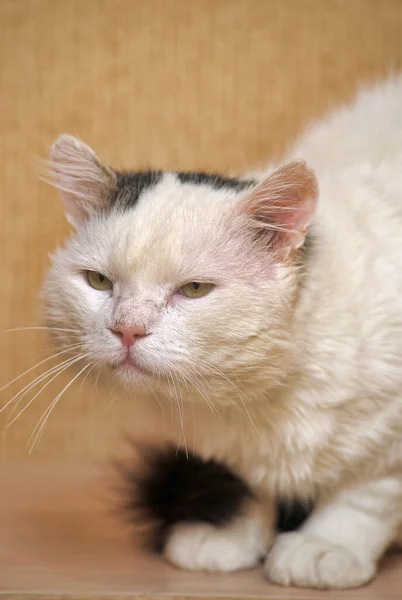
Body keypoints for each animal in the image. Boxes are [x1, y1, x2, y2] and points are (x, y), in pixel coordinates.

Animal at [44, 76, 402, 592]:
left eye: (195, 289)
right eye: (98, 281)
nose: (127, 328)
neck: (262, 398)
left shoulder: (391, 440)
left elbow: (365, 494)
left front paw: (327, 545)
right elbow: (245, 484)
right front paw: (231, 535)